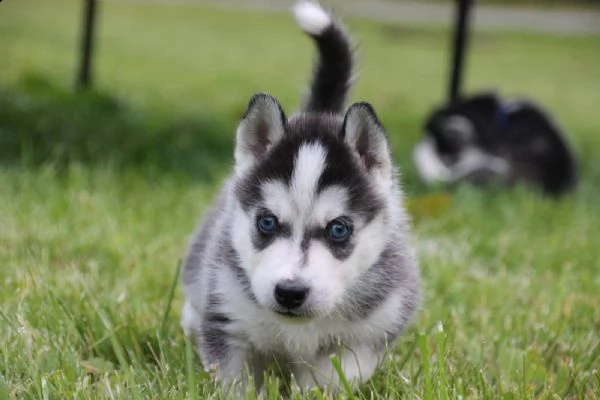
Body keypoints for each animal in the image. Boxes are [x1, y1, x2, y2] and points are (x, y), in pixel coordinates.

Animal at [180, 0, 420, 394]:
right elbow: (234, 379)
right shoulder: (228, 314)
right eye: (267, 222)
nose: (290, 292)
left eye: (339, 229)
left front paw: (310, 388)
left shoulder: (375, 326)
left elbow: (334, 373)